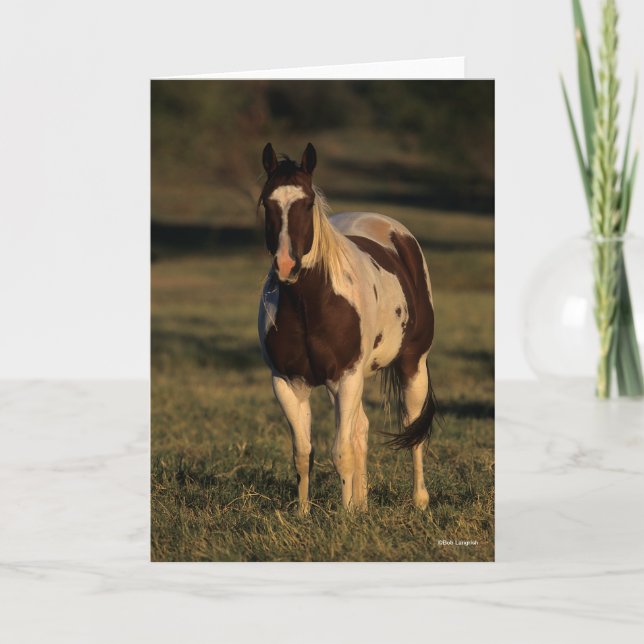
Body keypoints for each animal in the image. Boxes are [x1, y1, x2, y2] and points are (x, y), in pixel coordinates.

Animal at [257, 142, 436, 513]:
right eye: (267, 201)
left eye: (308, 202)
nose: (286, 266)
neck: (309, 305)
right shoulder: (287, 383)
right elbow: (303, 453)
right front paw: (305, 514)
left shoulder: (347, 377)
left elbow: (341, 453)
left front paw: (344, 517)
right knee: (361, 429)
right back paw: (362, 504)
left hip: (413, 365)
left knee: (412, 428)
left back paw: (419, 500)